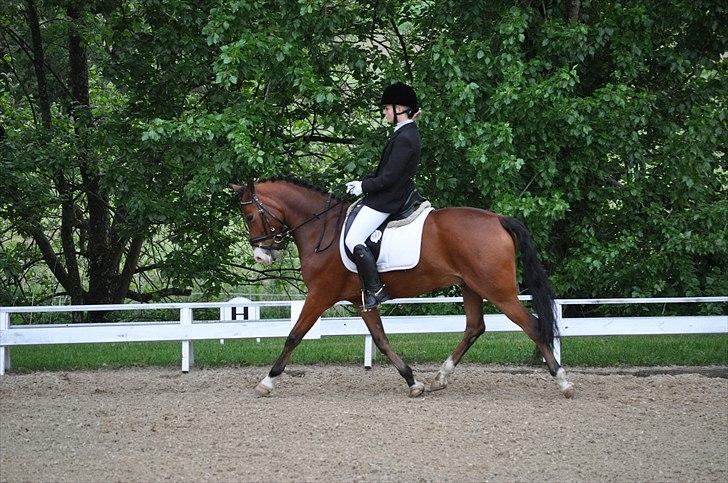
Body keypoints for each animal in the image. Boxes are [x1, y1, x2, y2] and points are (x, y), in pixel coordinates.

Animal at [230, 177, 574, 398]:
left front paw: (267, 381)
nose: (261, 255)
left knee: (532, 325)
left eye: (250, 215)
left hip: (498, 291)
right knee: (475, 327)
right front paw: (412, 382)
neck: (321, 228)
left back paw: (563, 382)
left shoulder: (320, 294)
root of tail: (499, 219)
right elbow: (381, 340)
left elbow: (294, 335)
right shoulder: (361, 300)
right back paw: (440, 378)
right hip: (470, 286)